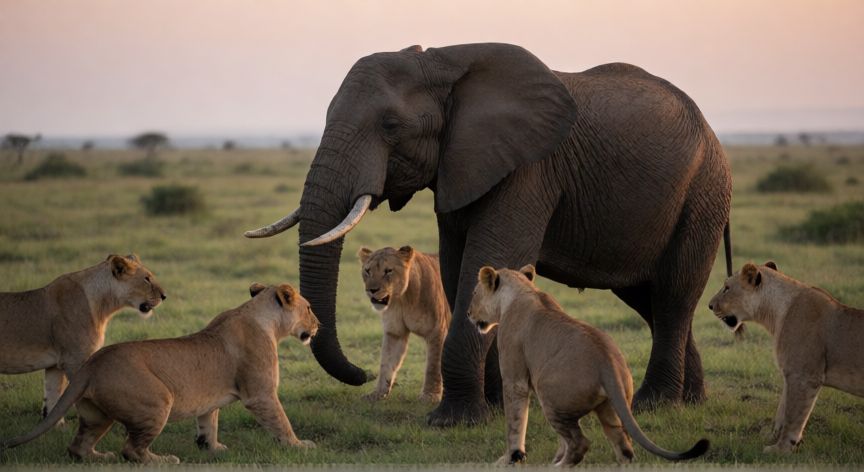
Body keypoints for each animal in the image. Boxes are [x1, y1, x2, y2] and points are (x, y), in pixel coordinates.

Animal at [0, 254, 166, 424]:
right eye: (146, 279)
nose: (164, 296)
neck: (103, 306)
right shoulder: (74, 360)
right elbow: (78, 398)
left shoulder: (55, 365)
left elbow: (52, 399)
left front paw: (57, 428)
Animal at [1, 283, 319, 464]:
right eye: (309, 308)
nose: (317, 325)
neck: (265, 320)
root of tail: (93, 363)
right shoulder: (260, 394)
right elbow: (280, 421)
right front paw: (299, 446)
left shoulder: (210, 401)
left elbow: (209, 421)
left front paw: (213, 449)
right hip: (155, 402)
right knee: (131, 450)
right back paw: (164, 460)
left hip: (96, 415)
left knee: (77, 447)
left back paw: (97, 456)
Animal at [357, 245, 450, 402]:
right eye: (368, 271)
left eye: (388, 270)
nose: (372, 290)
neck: (402, 299)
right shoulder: (395, 331)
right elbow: (386, 362)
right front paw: (377, 394)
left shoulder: (437, 331)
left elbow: (433, 365)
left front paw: (429, 396)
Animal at [468, 265, 709, 465]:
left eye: (474, 293)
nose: (468, 314)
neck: (522, 290)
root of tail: (607, 364)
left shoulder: (514, 377)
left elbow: (515, 420)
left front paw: (510, 458)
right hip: (610, 408)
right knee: (624, 446)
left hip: (550, 395)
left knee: (580, 443)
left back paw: (557, 467)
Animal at [709, 261, 864, 454]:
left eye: (727, 288)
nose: (709, 305)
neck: (775, 315)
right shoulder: (790, 374)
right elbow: (782, 411)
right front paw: (770, 437)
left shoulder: (804, 376)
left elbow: (793, 415)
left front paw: (780, 449)